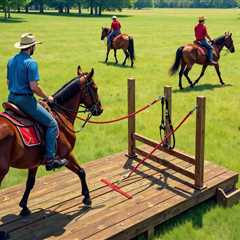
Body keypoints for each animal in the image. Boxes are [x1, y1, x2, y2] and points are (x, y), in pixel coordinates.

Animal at [0, 65, 102, 218]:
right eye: (95, 88)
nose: (100, 109)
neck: (60, 114)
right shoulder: (66, 154)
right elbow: (81, 171)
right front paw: (87, 198)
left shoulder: (34, 163)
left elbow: (30, 183)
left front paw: (24, 207)